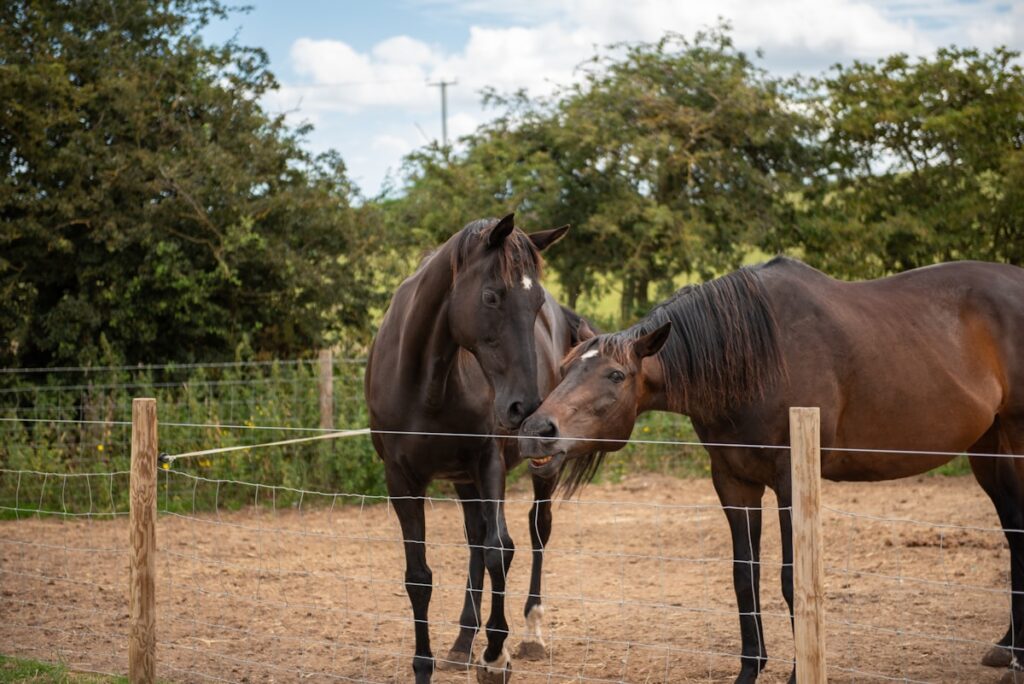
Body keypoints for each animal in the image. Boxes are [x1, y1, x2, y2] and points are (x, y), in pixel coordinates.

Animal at [364, 215, 601, 684]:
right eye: (492, 296)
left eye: (535, 303)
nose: (526, 409)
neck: (427, 384)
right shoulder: (401, 479)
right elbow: (419, 575)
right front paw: (425, 666)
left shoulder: (488, 463)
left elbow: (500, 549)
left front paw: (495, 655)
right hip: (462, 480)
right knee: (475, 538)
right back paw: (461, 643)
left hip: (539, 469)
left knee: (537, 530)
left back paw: (530, 634)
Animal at [520, 256, 1024, 683]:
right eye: (566, 368)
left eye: (616, 376)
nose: (536, 429)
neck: (756, 361)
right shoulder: (734, 483)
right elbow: (744, 576)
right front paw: (750, 668)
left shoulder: (789, 481)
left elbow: (791, 579)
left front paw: (799, 673)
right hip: (988, 452)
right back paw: (1007, 647)